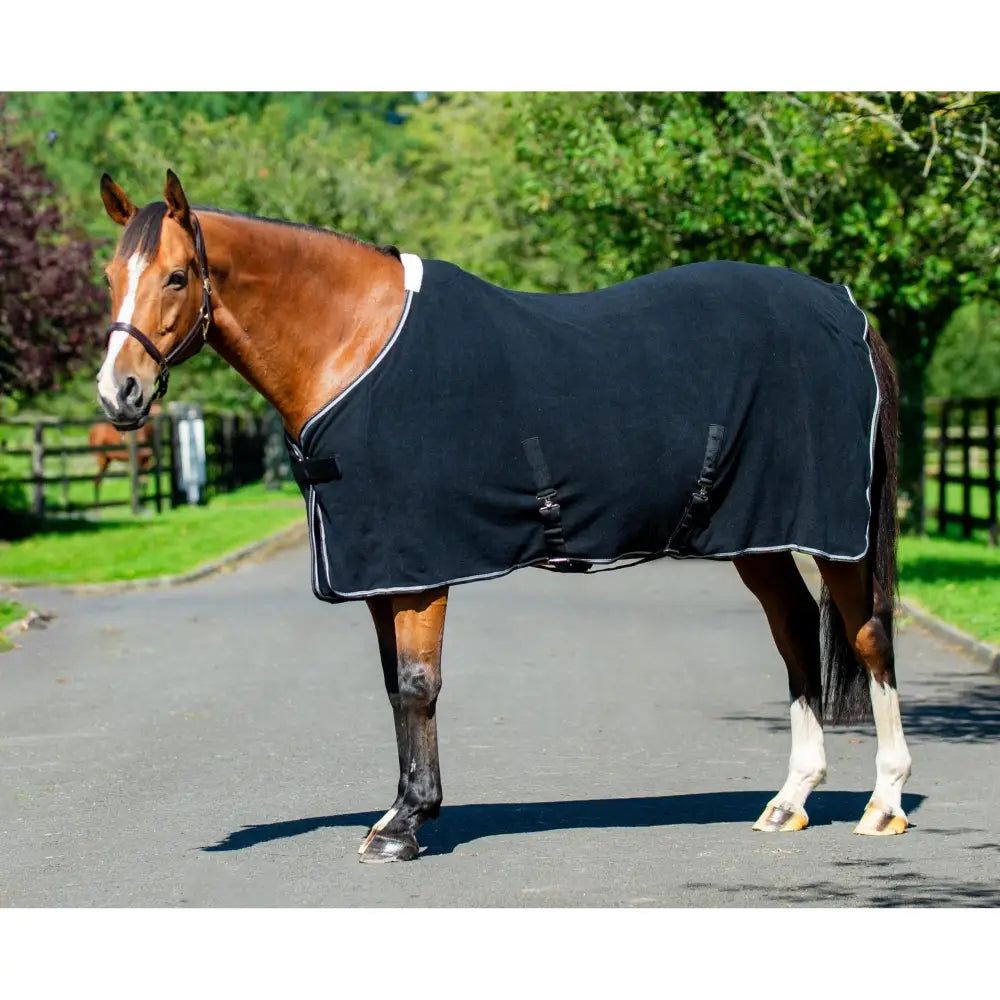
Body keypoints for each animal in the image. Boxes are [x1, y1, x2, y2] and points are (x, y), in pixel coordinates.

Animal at [93, 170, 912, 864]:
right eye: (108, 278)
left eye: (176, 276)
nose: (116, 394)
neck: (355, 344)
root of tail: (845, 310)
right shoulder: (381, 570)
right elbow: (394, 687)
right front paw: (401, 812)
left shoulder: (420, 570)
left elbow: (418, 685)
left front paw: (405, 826)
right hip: (759, 537)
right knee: (796, 634)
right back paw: (790, 800)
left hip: (835, 537)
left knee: (867, 636)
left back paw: (883, 803)